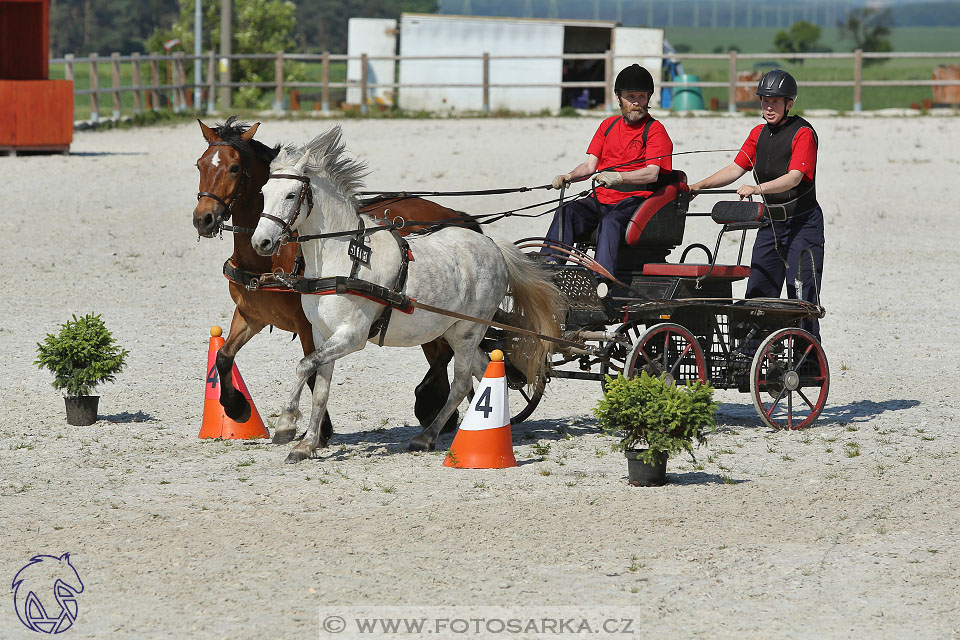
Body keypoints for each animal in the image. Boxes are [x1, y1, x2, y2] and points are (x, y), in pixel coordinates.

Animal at [190, 116, 472, 440]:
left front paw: (318, 430)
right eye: (200, 165)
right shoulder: (251, 315)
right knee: (441, 351)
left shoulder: (308, 325)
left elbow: (312, 371)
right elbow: (224, 356)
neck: (270, 259)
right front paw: (236, 408)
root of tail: (450, 211)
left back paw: (428, 403)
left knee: (445, 352)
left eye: (234, 168)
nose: (203, 219)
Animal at [251, 126, 564, 460]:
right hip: (454, 330)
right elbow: (320, 387)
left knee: (462, 382)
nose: (262, 242)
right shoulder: (322, 334)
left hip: (469, 331)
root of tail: (494, 246)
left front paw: (285, 424)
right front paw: (307, 444)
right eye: (263, 193)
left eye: (291, 194)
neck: (343, 259)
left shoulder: (352, 336)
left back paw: (427, 437)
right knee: (483, 372)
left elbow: (303, 366)